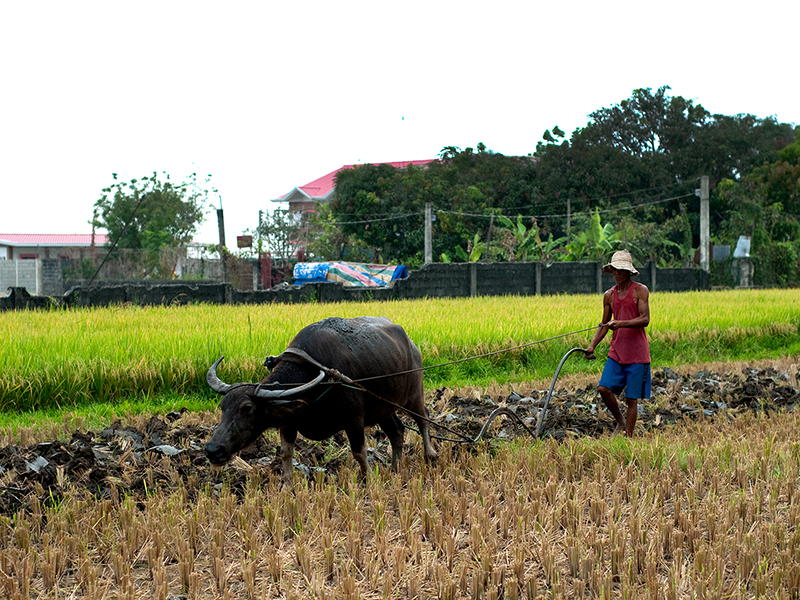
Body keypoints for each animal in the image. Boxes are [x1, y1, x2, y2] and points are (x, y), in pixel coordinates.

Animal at [203, 316, 434, 480]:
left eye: (247, 408)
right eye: (222, 406)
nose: (213, 450)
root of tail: (411, 345)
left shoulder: (354, 419)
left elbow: (359, 452)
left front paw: (367, 479)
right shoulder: (289, 420)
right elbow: (286, 453)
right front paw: (287, 485)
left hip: (414, 394)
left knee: (423, 419)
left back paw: (431, 454)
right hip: (384, 407)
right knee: (397, 432)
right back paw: (395, 468)